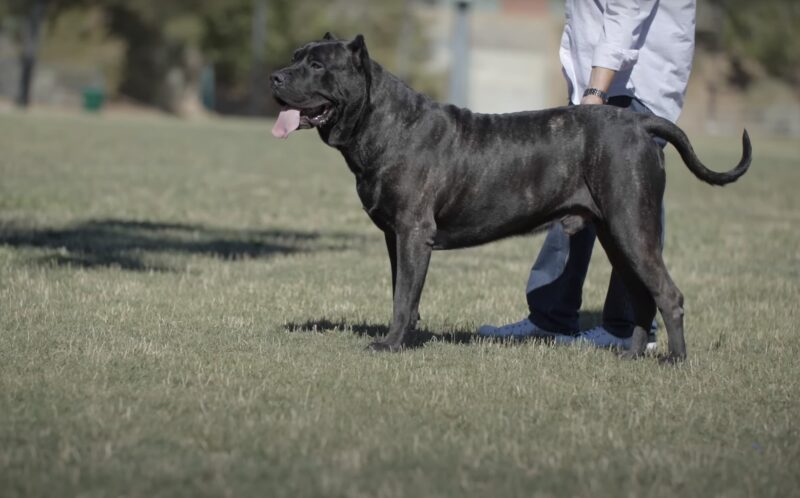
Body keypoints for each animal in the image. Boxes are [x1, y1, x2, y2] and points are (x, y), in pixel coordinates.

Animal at [272, 34, 752, 362]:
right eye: (295, 57)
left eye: (316, 64)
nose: (275, 76)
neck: (383, 122)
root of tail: (640, 124)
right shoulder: (396, 237)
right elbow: (403, 292)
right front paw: (407, 337)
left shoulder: (413, 233)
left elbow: (404, 294)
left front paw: (389, 344)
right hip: (617, 234)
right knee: (640, 294)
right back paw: (631, 355)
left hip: (633, 227)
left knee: (668, 294)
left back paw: (676, 361)